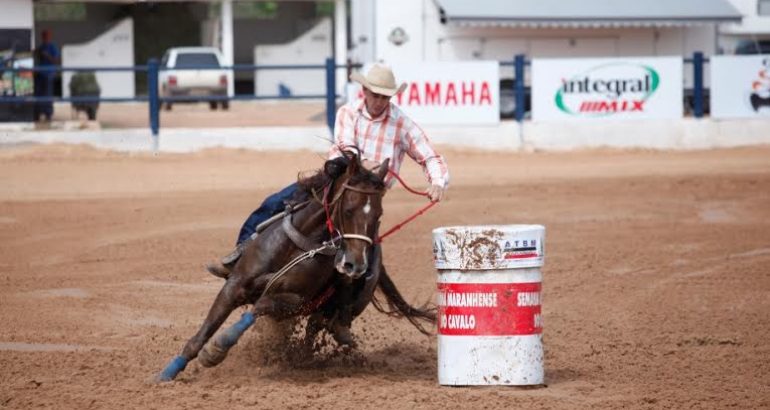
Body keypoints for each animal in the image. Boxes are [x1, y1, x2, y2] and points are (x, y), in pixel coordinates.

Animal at [156, 152, 436, 382]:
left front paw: (216, 349)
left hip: (332, 311)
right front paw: (167, 373)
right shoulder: (235, 286)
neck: (300, 246)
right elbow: (202, 333)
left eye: (378, 216)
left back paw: (308, 356)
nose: (355, 265)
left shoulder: (294, 303)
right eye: (348, 209)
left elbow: (259, 307)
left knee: (316, 329)